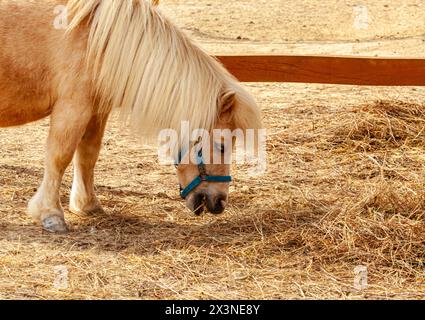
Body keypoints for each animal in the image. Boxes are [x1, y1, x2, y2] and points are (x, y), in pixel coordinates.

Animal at [0, 0, 262, 235]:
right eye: (221, 146)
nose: (219, 202)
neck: (97, 39)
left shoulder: (96, 110)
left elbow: (88, 155)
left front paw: (88, 205)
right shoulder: (73, 107)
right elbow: (59, 158)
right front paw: (51, 214)